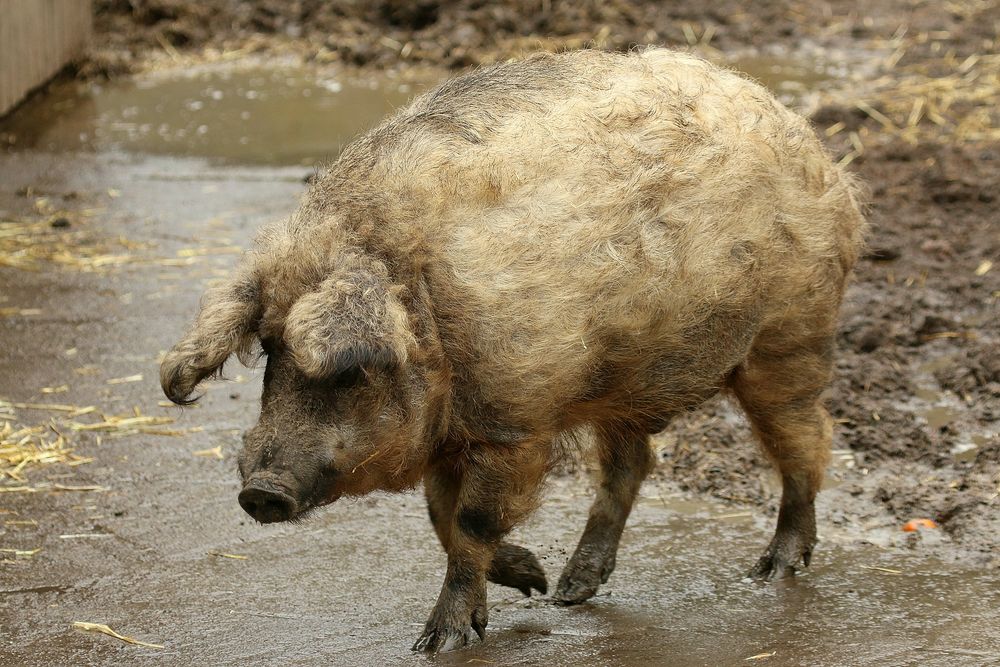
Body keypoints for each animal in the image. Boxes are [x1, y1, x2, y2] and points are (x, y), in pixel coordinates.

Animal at [160, 49, 864, 656]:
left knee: (807, 441)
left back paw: (772, 571)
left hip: (790, 337)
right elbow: (439, 515)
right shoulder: (454, 433)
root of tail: (808, 140)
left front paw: (440, 641)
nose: (261, 493)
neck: (430, 314)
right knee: (633, 465)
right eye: (270, 350)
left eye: (348, 371)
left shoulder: (512, 423)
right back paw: (572, 592)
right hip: (621, 382)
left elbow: (471, 520)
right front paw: (532, 582)